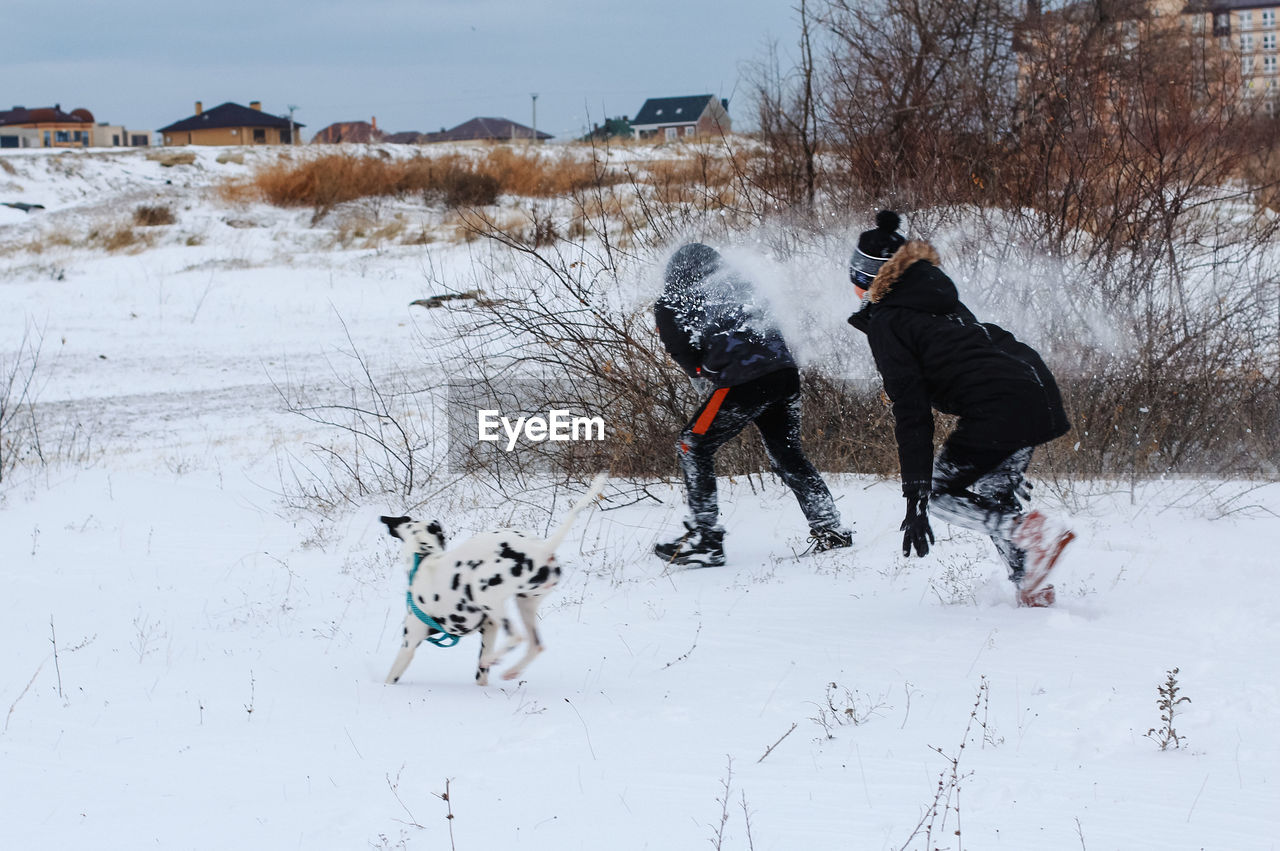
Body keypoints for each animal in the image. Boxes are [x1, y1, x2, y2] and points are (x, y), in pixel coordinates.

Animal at [376, 470, 606, 685]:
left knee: (516, 637)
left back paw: (493, 660)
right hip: (525, 604)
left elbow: (391, 676)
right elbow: (481, 676)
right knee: (535, 645)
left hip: (485, 593)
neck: (424, 557)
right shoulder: (489, 628)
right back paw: (510, 670)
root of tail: (541, 549)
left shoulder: (409, 644)